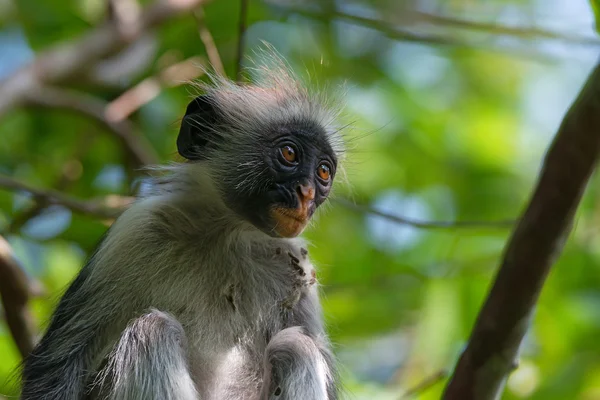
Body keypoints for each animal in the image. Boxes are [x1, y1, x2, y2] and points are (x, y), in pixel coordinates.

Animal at [19, 57, 342, 400]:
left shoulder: (297, 265)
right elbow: (58, 365)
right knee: (153, 330)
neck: (225, 234)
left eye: (323, 171)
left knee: (295, 347)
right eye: (290, 153)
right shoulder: (136, 230)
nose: (306, 193)